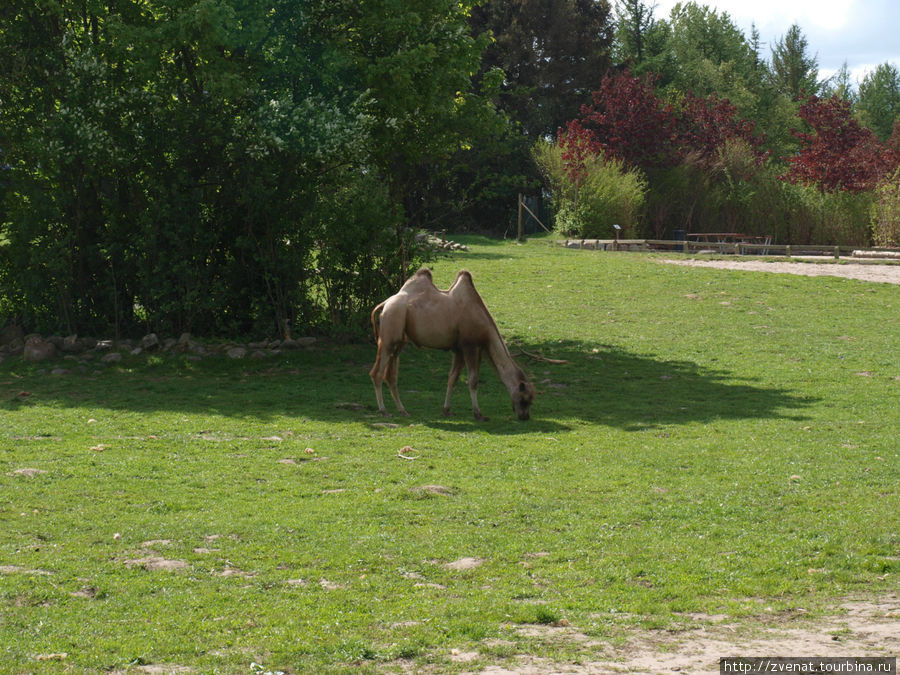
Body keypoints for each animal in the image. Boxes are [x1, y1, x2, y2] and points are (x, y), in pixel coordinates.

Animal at [368, 268, 536, 420]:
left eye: (530, 401)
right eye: (524, 399)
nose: (525, 417)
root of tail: (384, 304)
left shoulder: (461, 350)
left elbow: (452, 379)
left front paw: (447, 410)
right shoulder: (470, 346)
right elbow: (473, 381)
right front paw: (478, 414)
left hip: (400, 341)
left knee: (391, 376)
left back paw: (403, 411)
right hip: (390, 333)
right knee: (377, 373)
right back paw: (384, 411)